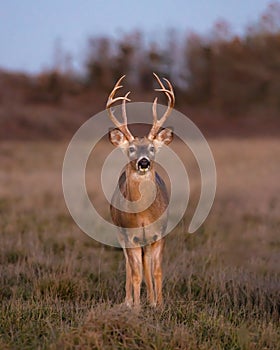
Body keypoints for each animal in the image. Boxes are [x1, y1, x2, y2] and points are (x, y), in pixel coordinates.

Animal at [105, 72, 174, 308]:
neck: (143, 216)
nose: (143, 162)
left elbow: (157, 271)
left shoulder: (159, 234)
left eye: (152, 148)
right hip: (121, 235)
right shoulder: (130, 236)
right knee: (130, 267)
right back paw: (128, 301)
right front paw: (135, 307)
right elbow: (136, 274)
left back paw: (151, 299)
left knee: (147, 266)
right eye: (131, 149)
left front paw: (159, 304)